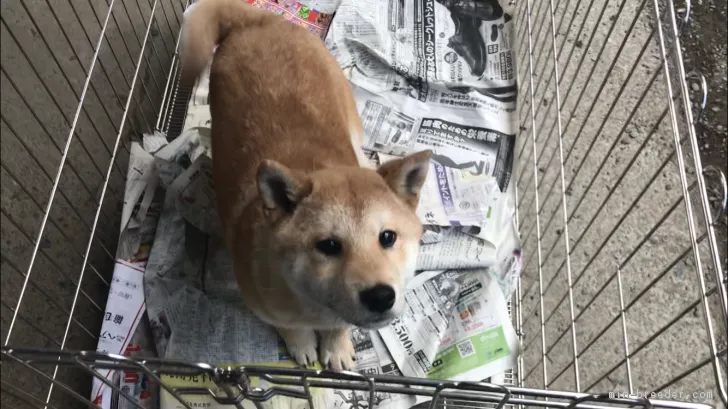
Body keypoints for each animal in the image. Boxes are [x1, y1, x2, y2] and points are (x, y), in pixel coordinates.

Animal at [182, 0, 432, 370]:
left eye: (388, 237)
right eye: (328, 246)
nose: (380, 296)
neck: (314, 306)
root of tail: (257, 21)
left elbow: (340, 328)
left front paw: (336, 347)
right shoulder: (266, 306)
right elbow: (290, 328)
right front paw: (302, 345)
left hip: (349, 115)